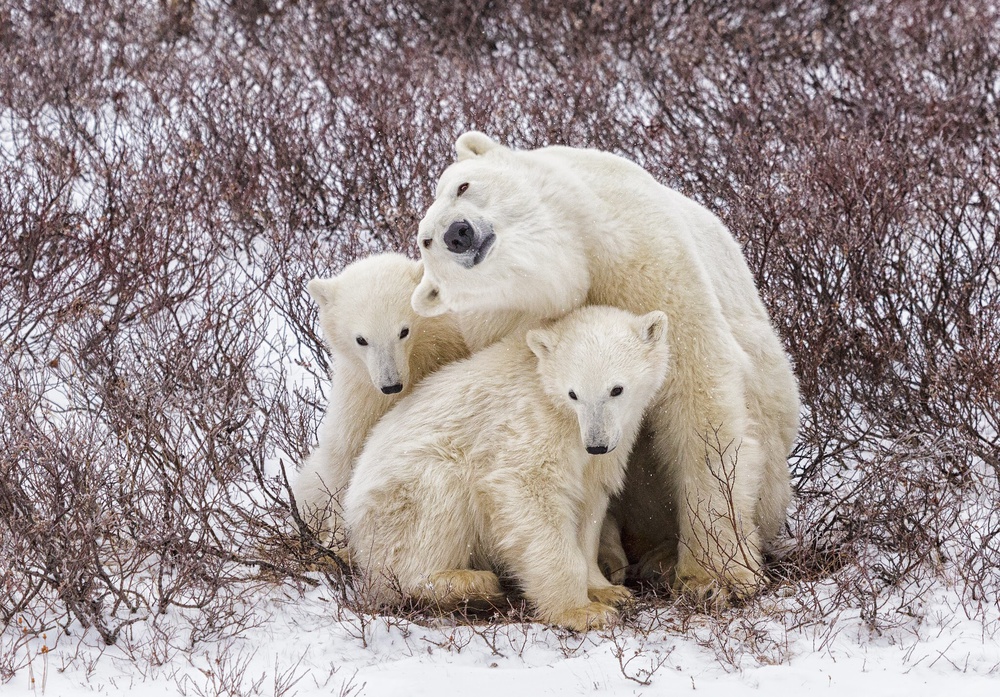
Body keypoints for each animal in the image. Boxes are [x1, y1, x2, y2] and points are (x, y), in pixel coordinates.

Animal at [292, 253, 468, 548]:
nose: (390, 384)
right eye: (361, 339)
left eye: (404, 331)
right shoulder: (360, 399)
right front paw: (337, 540)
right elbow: (343, 460)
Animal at [346, 308, 672, 628]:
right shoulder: (531, 424)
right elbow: (527, 488)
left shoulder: (608, 445)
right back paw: (469, 583)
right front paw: (582, 611)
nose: (597, 444)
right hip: (401, 498)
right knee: (438, 501)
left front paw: (609, 591)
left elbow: (588, 504)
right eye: (573, 394)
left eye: (616, 389)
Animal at [410, 132, 800, 604]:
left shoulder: (643, 256)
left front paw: (716, 576)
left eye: (462, 186)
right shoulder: (508, 323)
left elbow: (697, 397)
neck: (571, 264)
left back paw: (662, 557)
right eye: (426, 241)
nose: (457, 232)